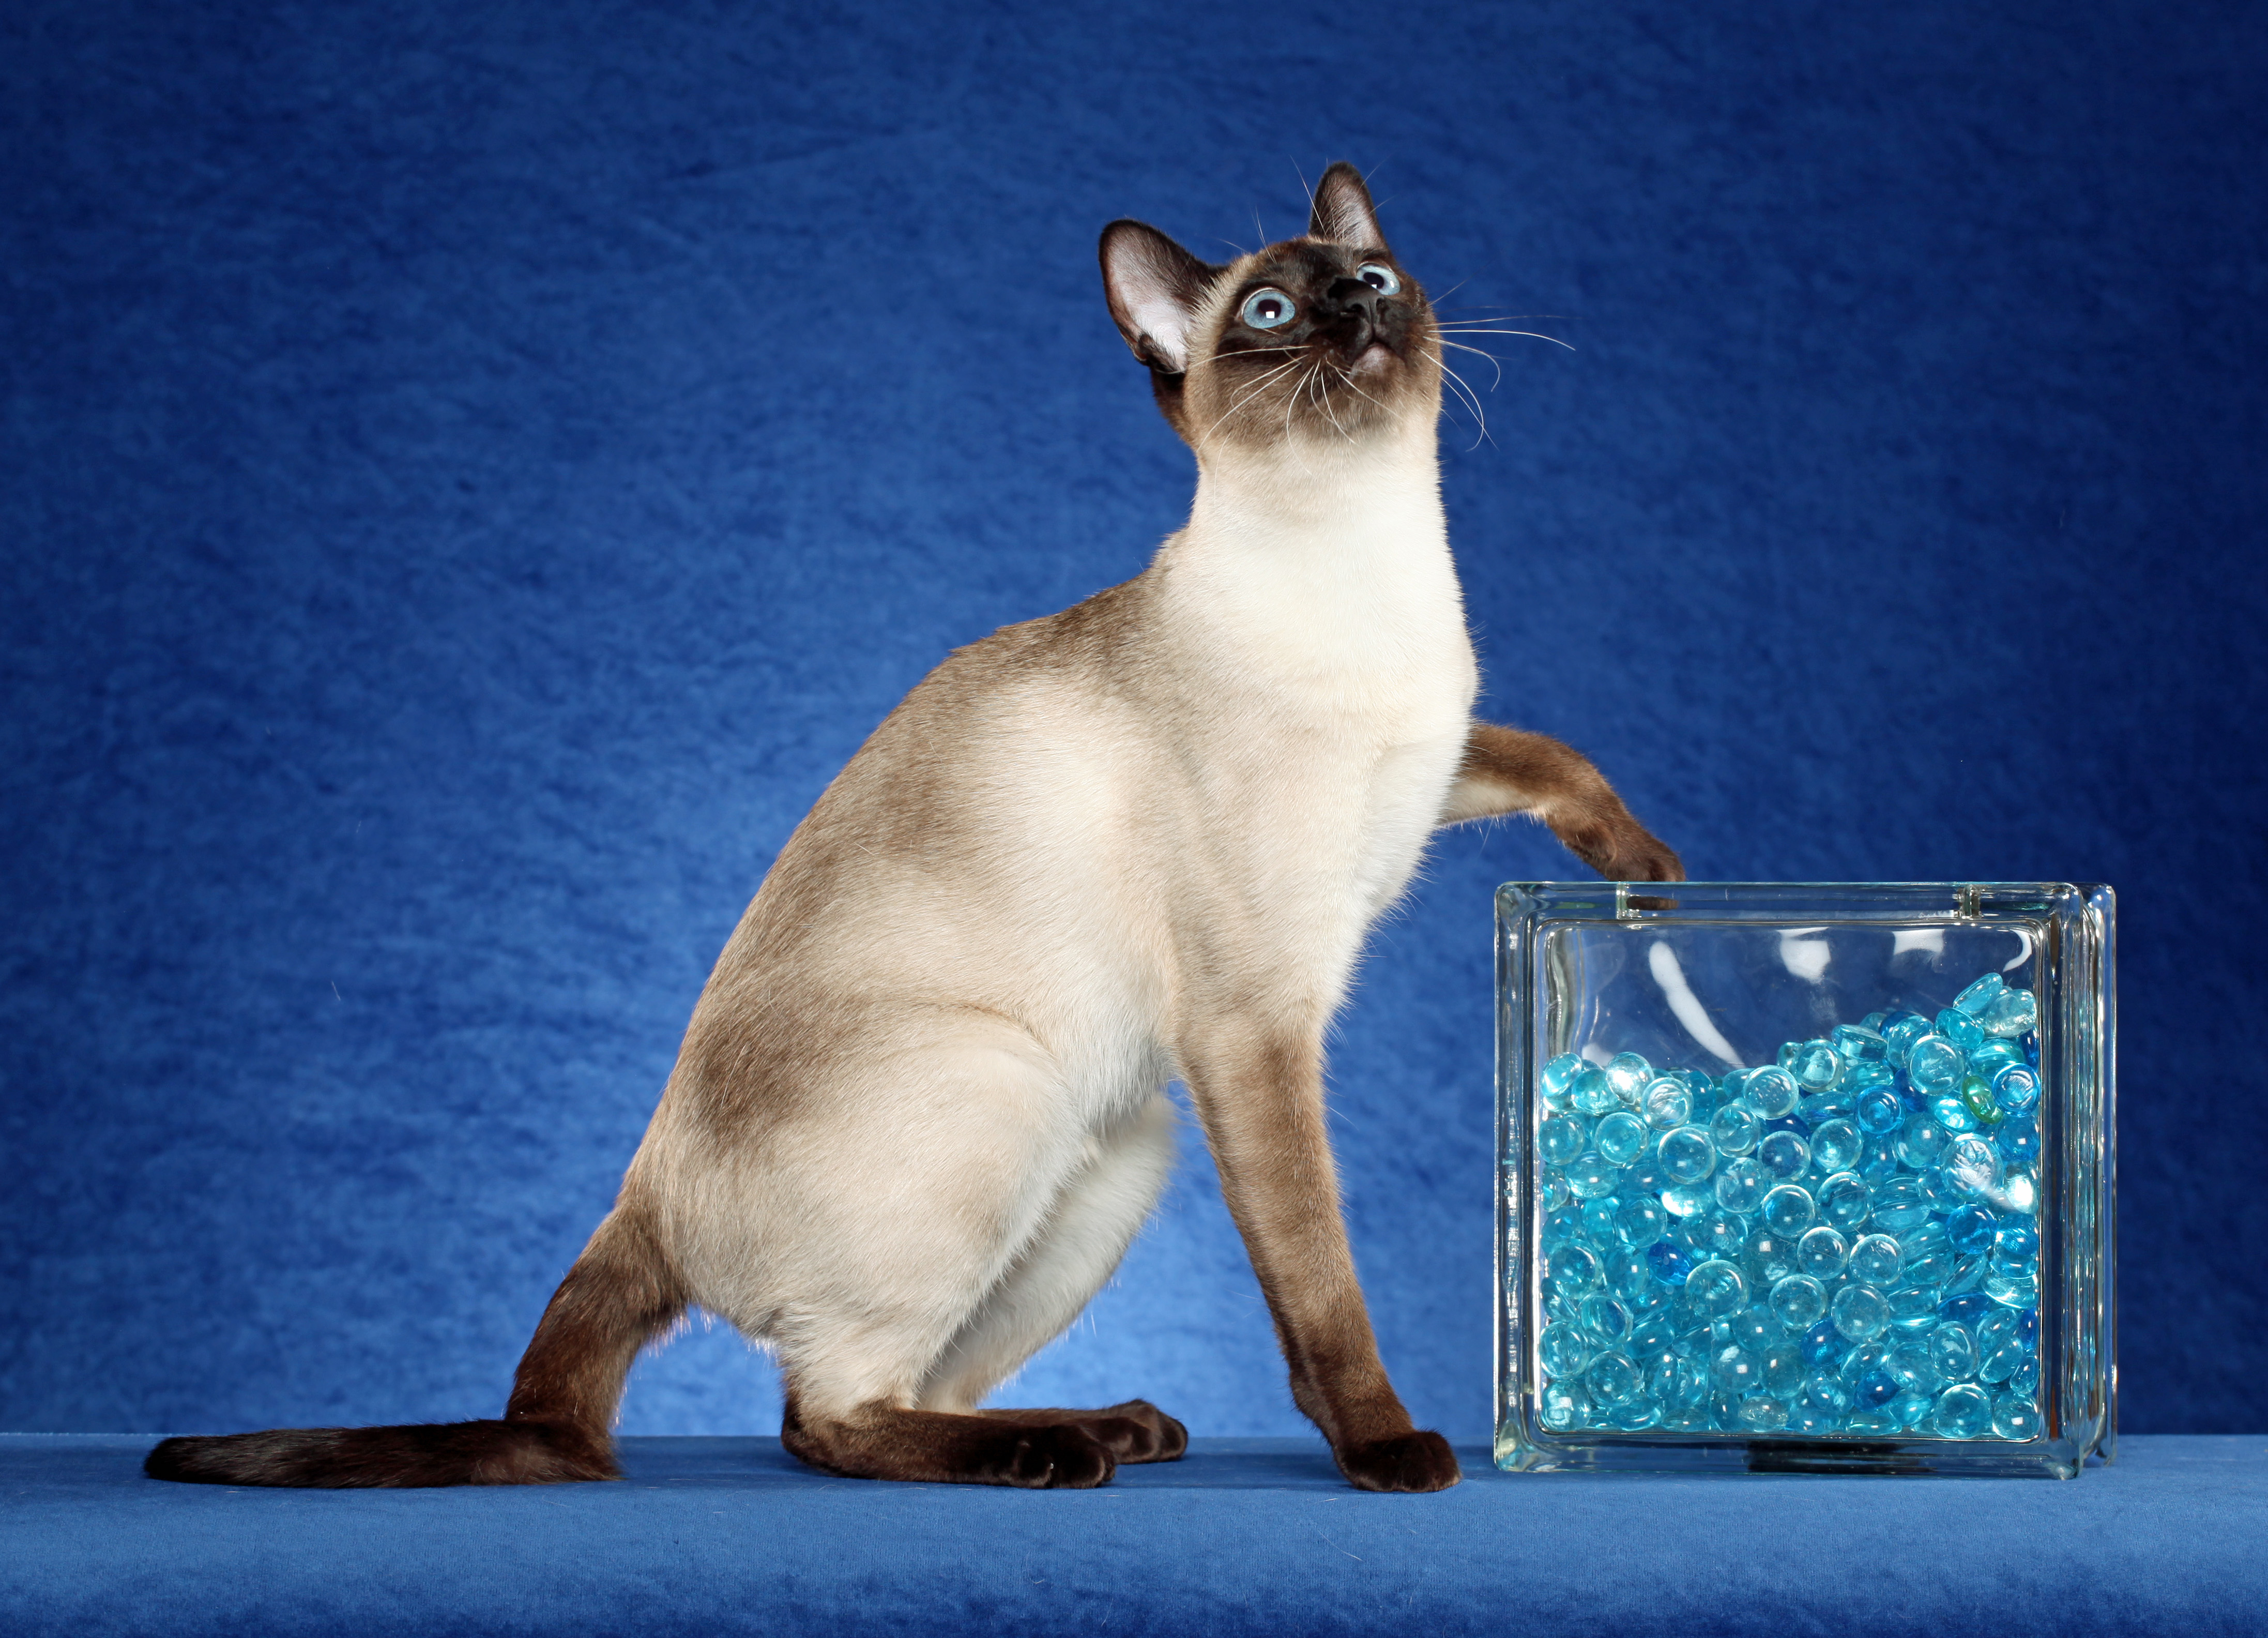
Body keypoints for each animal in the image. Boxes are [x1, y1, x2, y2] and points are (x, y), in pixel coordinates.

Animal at [146, 163, 1681, 1496]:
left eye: (1375, 276)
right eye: (1267, 312)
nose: (1362, 305)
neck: (1369, 571)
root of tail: (643, 1201)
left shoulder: (1427, 767)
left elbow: (1549, 752)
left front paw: (1646, 872)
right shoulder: (1256, 1021)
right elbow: (1321, 1284)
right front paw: (1384, 1450)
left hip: (1113, 1148)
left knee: (889, 1390)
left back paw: (1108, 1426)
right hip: (1009, 1089)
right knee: (824, 1419)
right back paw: (1054, 1454)